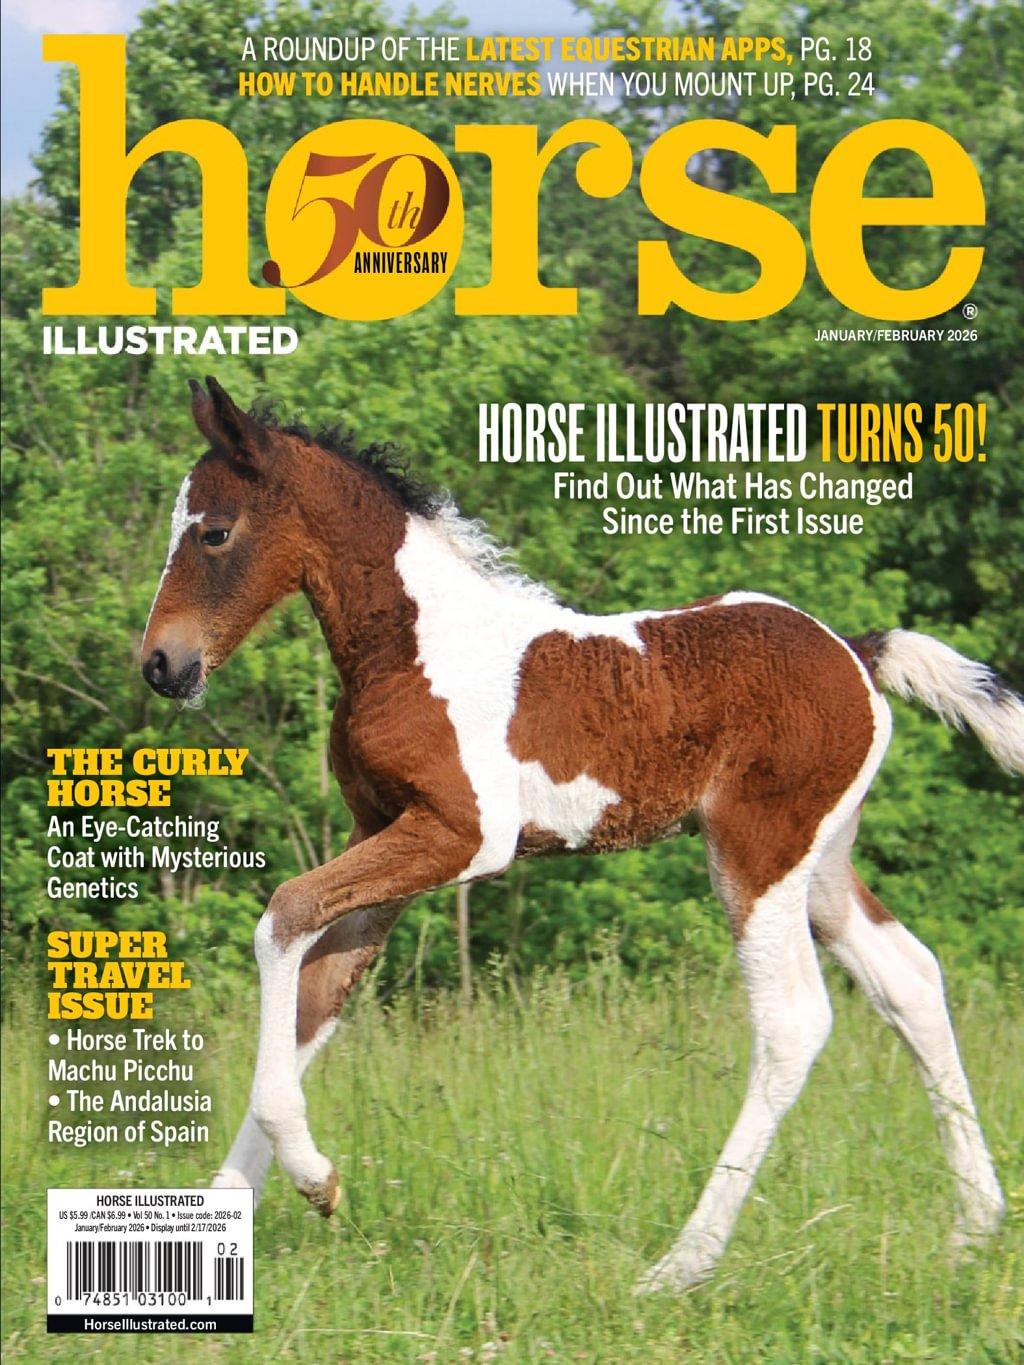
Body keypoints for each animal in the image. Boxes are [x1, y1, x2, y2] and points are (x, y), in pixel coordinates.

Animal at [142, 377, 1020, 1292]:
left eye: (213, 530)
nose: (161, 665)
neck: (415, 645)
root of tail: (854, 649)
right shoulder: (383, 830)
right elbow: (317, 993)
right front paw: (229, 1217)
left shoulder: (461, 834)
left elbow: (282, 913)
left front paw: (314, 1176)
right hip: (821, 861)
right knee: (910, 980)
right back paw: (974, 1226)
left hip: (758, 852)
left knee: (793, 1020)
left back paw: (681, 1264)